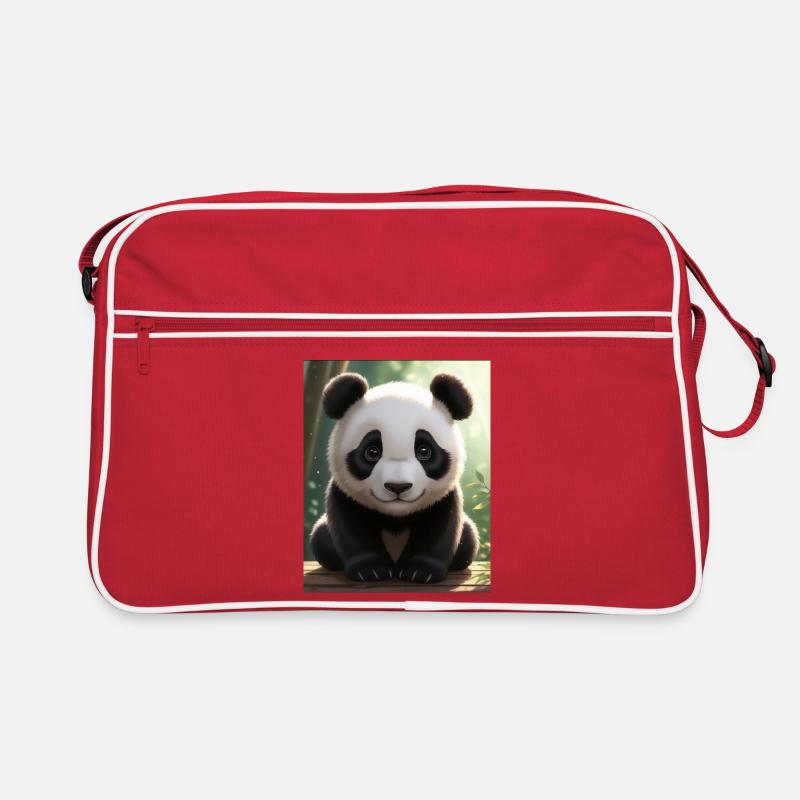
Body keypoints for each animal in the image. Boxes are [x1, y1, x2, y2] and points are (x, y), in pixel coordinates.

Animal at [309, 372, 480, 584]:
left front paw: (420, 571)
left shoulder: (444, 497)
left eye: (424, 451)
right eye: (372, 452)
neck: (396, 515)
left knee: (468, 539)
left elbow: (440, 529)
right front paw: (371, 570)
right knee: (321, 539)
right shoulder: (344, 493)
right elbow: (349, 528)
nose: (398, 486)